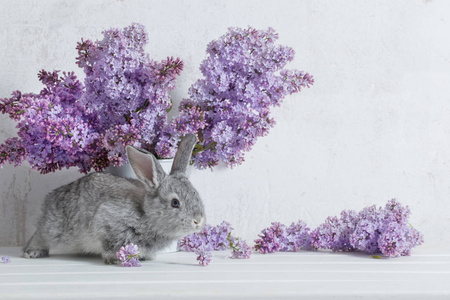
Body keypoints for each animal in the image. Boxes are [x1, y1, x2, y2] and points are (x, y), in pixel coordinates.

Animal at [21, 135, 204, 264]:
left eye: (196, 194)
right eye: (175, 203)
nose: (198, 221)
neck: (146, 214)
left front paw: (145, 257)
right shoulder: (107, 223)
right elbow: (109, 245)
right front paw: (116, 259)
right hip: (54, 228)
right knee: (39, 236)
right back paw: (32, 252)